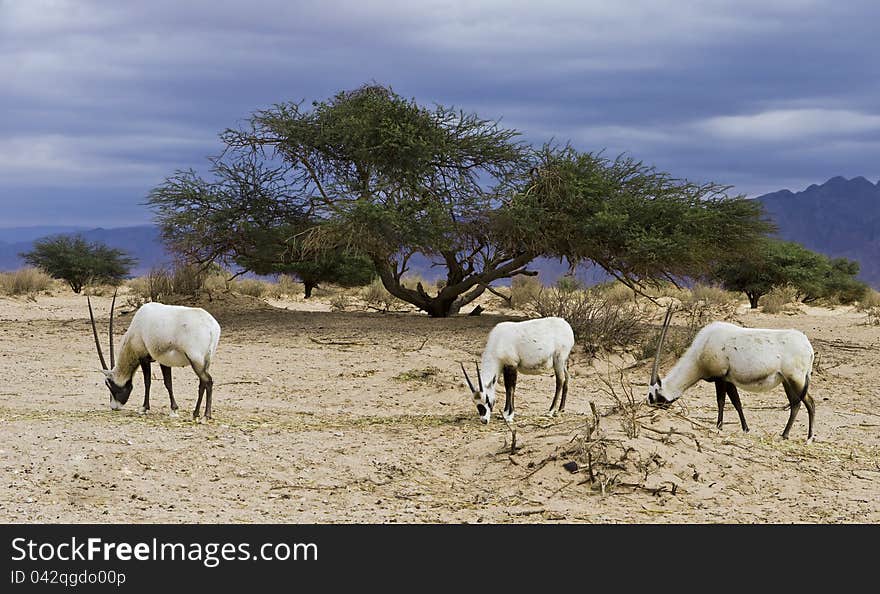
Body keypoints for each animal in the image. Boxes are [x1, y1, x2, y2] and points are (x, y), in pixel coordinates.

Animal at [87, 290, 222, 416]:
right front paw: (174, 409)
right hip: (205, 361)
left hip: (195, 360)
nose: (114, 407)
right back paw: (195, 414)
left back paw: (205, 416)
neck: (136, 329)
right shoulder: (164, 361)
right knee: (202, 383)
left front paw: (144, 408)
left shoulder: (143, 358)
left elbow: (148, 382)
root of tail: (212, 327)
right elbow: (168, 383)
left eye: (109, 384)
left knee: (208, 381)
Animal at [644, 310, 816, 440]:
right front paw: (745, 428)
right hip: (787, 382)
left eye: (653, 396)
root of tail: (808, 346)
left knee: (808, 403)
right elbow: (736, 402)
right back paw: (791, 435)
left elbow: (721, 401)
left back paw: (803, 437)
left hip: (795, 380)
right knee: (797, 404)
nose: (649, 408)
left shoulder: (720, 378)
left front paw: (719, 426)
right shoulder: (729, 380)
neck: (701, 350)